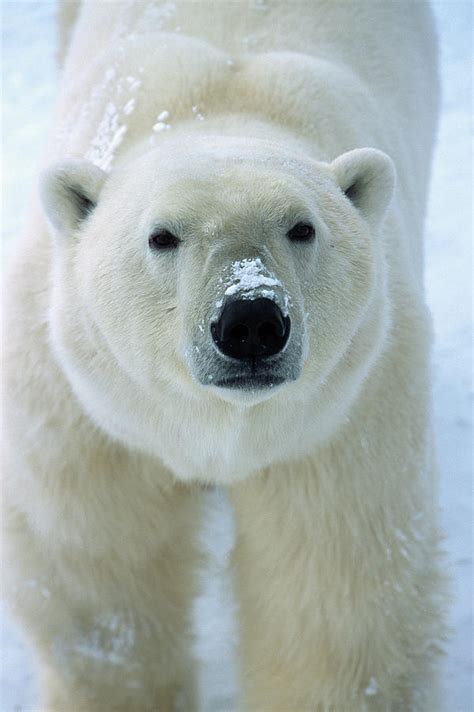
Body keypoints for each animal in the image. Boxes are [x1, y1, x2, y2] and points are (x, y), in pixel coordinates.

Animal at [2, 1, 444, 712]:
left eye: (302, 227)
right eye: (162, 236)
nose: (251, 322)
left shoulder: (347, 408)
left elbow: (335, 597)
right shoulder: (85, 406)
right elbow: (100, 575)